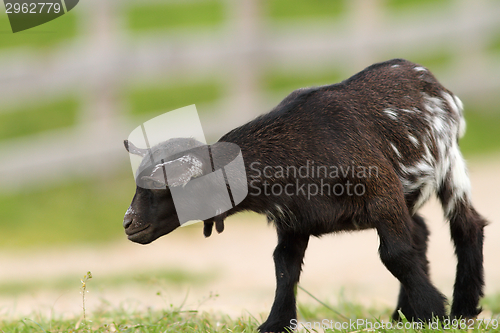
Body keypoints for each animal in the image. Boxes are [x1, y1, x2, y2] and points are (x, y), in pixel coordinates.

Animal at [123, 58, 486, 330]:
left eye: (165, 187)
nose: (128, 223)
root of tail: (419, 72)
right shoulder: (293, 221)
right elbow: (285, 266)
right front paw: (275, 324)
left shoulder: (381, 194)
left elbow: (395, 254)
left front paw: (434, 311)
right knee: (421, 232)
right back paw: (402, 314)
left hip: (449, 164)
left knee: (466, 224)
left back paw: (463, 306)